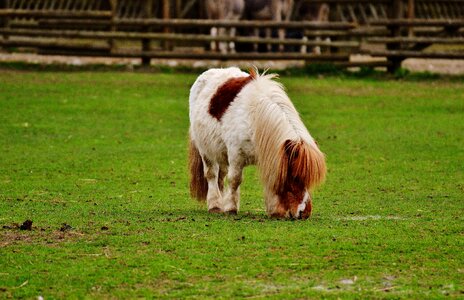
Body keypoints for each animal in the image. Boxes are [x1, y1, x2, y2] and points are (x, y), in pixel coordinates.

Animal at [188, 67, 326, 219]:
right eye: (295, 176)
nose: (305, 213)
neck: (255, 116)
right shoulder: (236, 154)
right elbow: (235, 180)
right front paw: (231, 208)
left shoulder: (270, 156)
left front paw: (275, 211)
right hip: (205, 150)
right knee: (212, 174)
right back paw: (215, 205)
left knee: (221, 175)